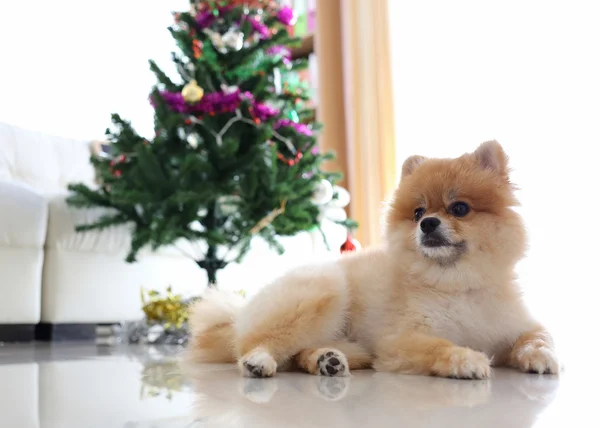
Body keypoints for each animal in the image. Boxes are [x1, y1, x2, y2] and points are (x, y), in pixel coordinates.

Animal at [188, 140, 556, 378]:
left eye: (460, 208)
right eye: (418, 212)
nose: (427, 223)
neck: (456, 282)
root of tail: (239, 313)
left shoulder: (515, 325)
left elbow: (536, 338)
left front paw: (541, 356)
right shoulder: (401, 339)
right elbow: (439, 346)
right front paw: (466, 360)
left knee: (297, 354)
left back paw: (327, 360)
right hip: (324, 290)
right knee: (254, 344)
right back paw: (260, 361)